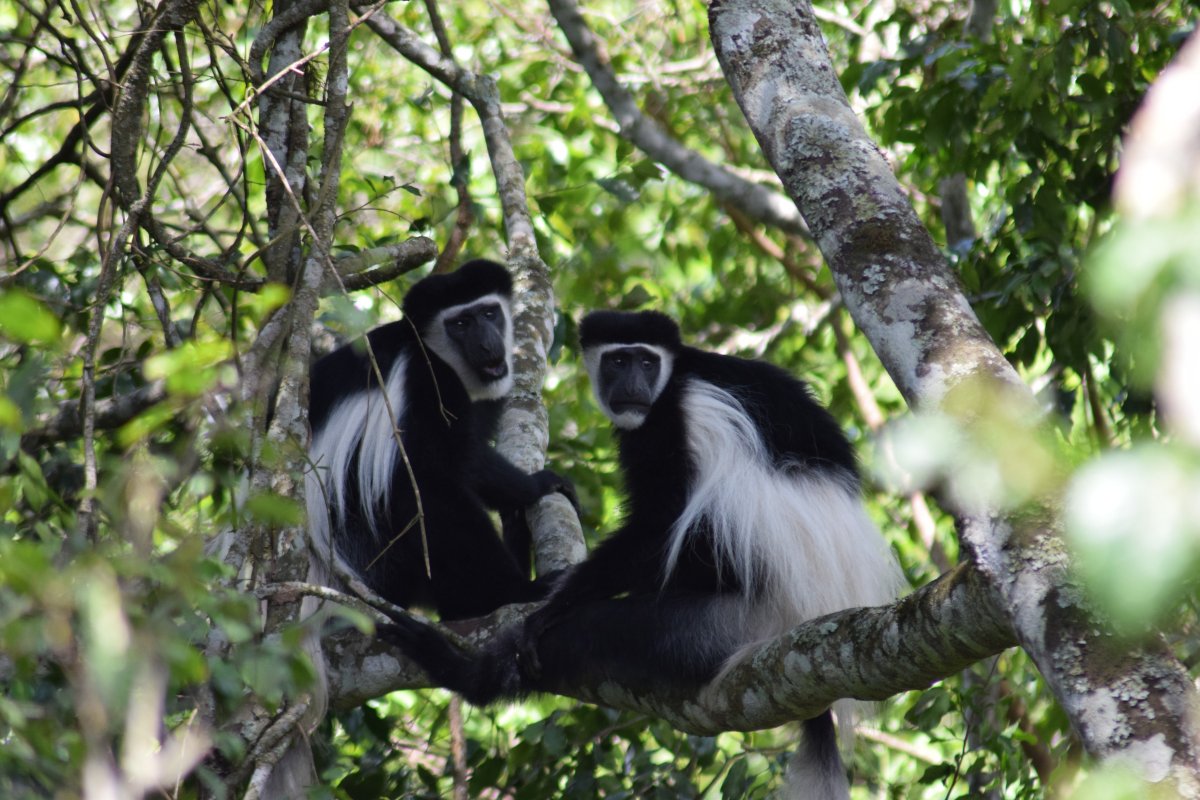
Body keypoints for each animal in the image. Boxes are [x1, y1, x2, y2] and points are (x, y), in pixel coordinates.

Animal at [307, 260, 573, 623]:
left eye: (489, 313)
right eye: (460, 324)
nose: (488, 345)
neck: (429, 350)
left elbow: (473, 455)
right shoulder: (429, 384)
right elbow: (436, 476)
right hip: (368, 551)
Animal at [379, 309, 902, 796]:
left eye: (647, 362)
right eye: (617, 360)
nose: (631, 384)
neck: (675, 377)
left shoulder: (671, 424)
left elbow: (659, 523)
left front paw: (552, 604)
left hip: (724, 626)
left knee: (595, 630)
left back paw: (466, 669)